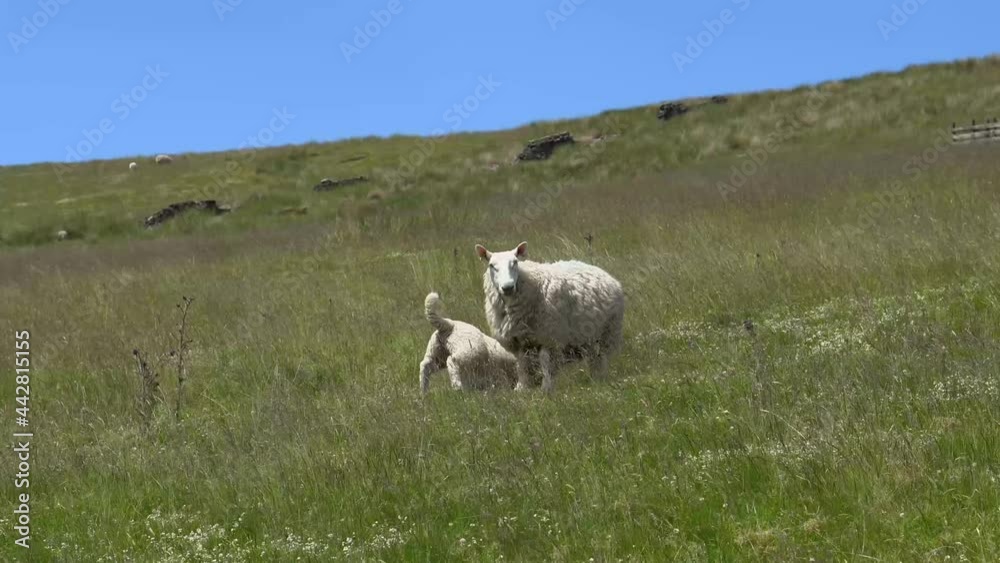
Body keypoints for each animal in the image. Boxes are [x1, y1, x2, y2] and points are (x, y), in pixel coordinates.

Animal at [475, 241, 624, 392]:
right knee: (594, 358)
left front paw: (546, 389)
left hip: (608, 332)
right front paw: (521, 388)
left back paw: (600, 379)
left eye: (515, 262)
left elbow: (547, 365)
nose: (508, 287)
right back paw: (595, 378)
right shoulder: (519, 341)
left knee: (601, 358)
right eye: (491, 265)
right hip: (589, 338)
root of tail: (600, 271)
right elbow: (522, 366)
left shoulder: (549, 338)